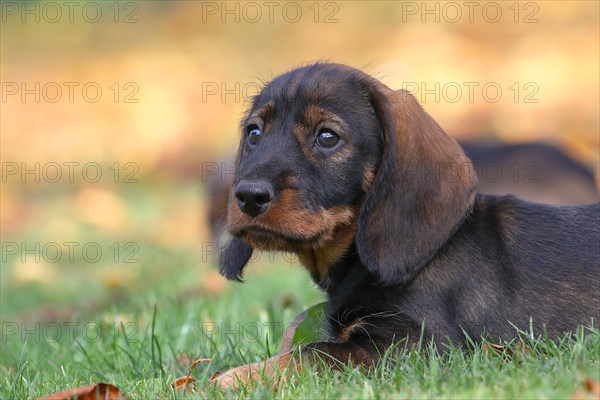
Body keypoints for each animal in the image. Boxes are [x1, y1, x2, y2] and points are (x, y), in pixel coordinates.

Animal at [209, 64, 596, 390]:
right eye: (254, 133)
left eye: (328, 137)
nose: (249, 196)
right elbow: (297, 334)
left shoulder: (417, 346)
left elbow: (312, 352)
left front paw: (231, 379)